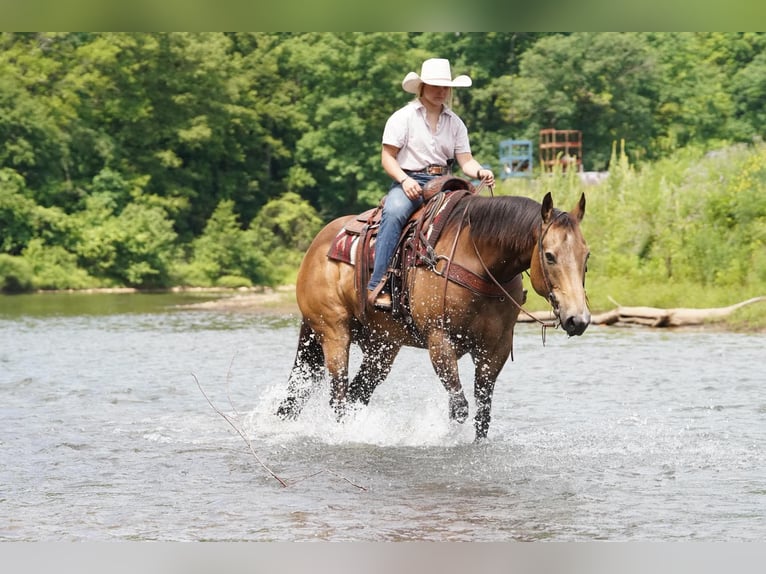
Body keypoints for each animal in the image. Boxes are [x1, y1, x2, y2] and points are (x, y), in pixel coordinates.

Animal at [276, 188, 590, 441]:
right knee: (339, 396)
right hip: (333, 333)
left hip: (382, 347)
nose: (578, 319)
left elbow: (483, 413)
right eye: (549, 255)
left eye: (586, 255)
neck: (479, 262)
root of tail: (317, 247)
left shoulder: (495, 348)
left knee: (354, 394)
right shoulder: (439, 340)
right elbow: (459, 408)